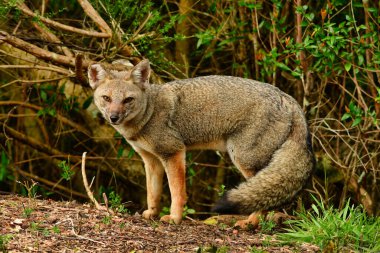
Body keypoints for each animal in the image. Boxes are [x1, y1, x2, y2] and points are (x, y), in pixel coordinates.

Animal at [87, 58, 314, 225]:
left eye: (128, 100)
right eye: (107, 98)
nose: (113, 117)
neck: (148, 113)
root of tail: (286, 97)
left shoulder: (174, 152)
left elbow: (177, 192)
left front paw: (175, 218)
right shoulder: (151, 160)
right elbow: (153, 192)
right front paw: (151, 213)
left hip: (244, 159)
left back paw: (250, 223)